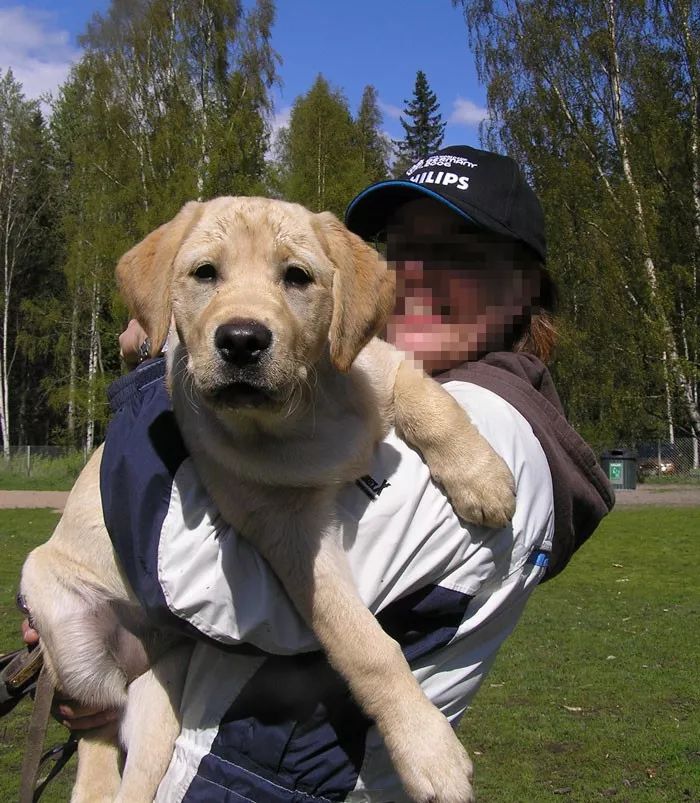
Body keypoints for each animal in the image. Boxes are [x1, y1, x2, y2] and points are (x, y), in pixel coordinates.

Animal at [21, 196, 516, 803]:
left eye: (297, 277)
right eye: (205, 273)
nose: (241, 339)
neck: (304, 414)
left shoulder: (387, 363)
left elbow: (435, 405)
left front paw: (482, 478)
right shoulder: (287, 536)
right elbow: (361, 642)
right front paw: (428, 751)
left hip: (159, 691)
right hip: (63, 626)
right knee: (97, 730)